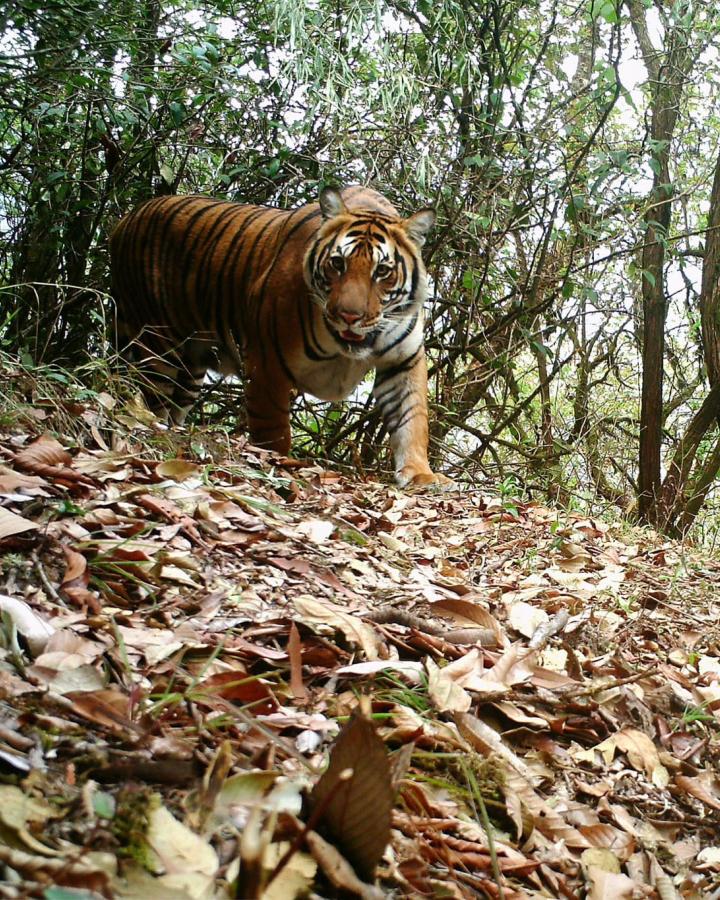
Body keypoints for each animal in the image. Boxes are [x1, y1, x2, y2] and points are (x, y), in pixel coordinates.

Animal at [109, 184, 448, 488]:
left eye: (382, 271)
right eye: (338, 263)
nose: (349, 316)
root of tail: (125, 219)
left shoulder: (403, 361)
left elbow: (411, 418)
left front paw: (420, 474)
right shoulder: (267, 359)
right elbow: (273, 426)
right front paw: (277, 463)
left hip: (192, 365)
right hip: (157, 345)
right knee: (150, 400)